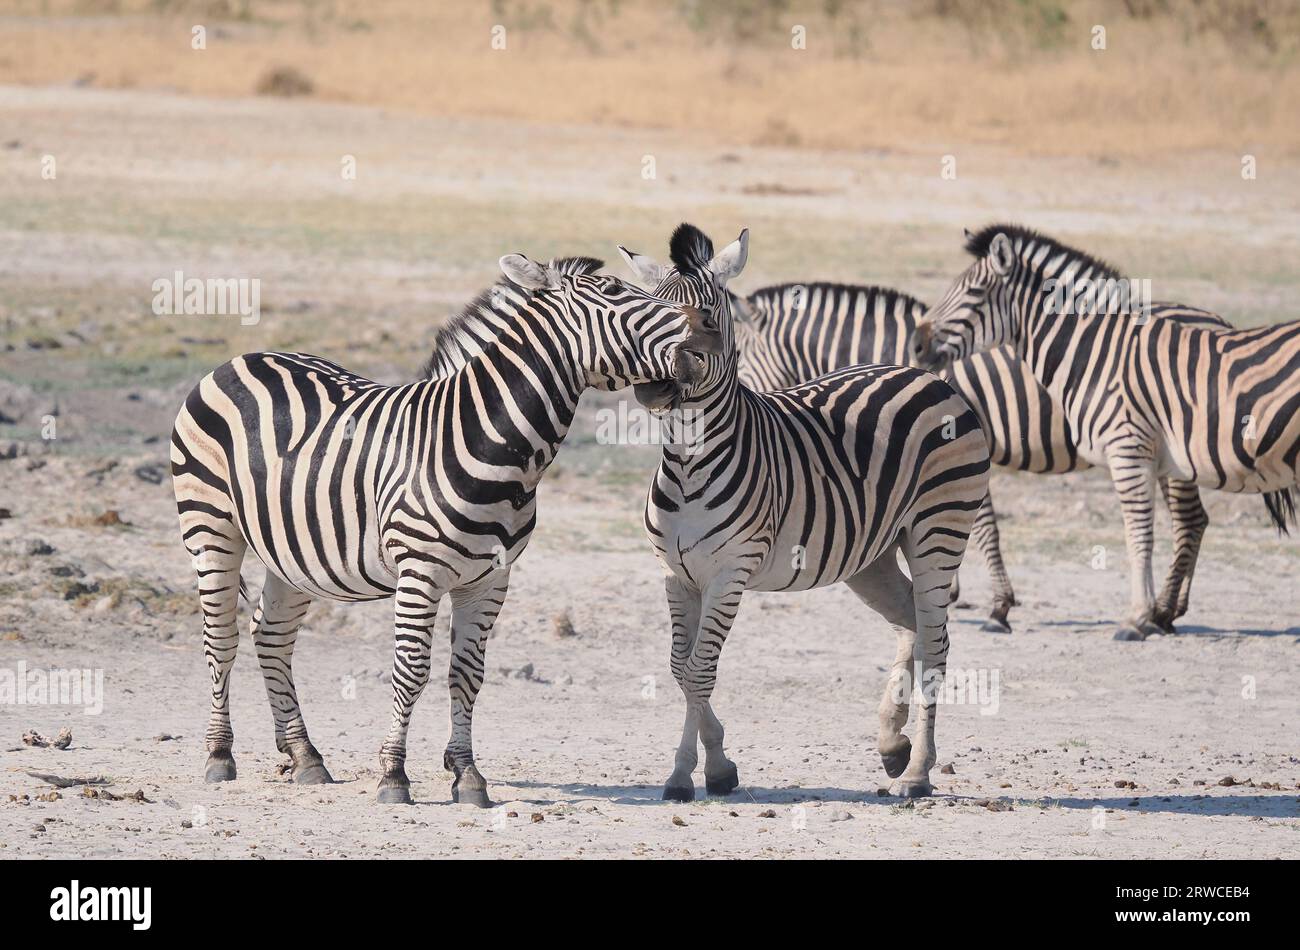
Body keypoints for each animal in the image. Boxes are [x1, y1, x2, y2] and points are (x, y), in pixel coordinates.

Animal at [171, 253, 719, 804]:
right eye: (611, 291)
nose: (706, 339)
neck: (492, 445)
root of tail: (240, 359)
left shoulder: (490, 580)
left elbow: (467, 674)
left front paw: (467, 774)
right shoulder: (420, 572)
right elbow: (412, 669)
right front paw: (393, 775)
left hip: (292, 552)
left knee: (272, 636)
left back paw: (305, 756)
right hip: (211, 529)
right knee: (221, 638)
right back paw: (219, 755)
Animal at [621, 223, 991, 799]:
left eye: (706, 317)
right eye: (648, 313)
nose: (653, 385)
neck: (687, 463)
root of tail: (929, 378)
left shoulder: (730, 573)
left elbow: (701, 669)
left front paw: (691, 773)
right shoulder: (675, 574)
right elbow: (682, 669)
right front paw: (712, 767)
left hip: (939, 530)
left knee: (937, 642)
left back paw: (917, 773)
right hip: (872, 555)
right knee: (911, 621)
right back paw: (892, 742)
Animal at [911, 224, 1297, 640]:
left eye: (975, 292)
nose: (917, 345)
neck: (1096, 353)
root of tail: (1218, 318)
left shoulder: (1126, 448)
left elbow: (1137, 532)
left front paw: (1136, 618)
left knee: (1189, 522)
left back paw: (1163, 613)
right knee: (1193, 522)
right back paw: (1167, 613)